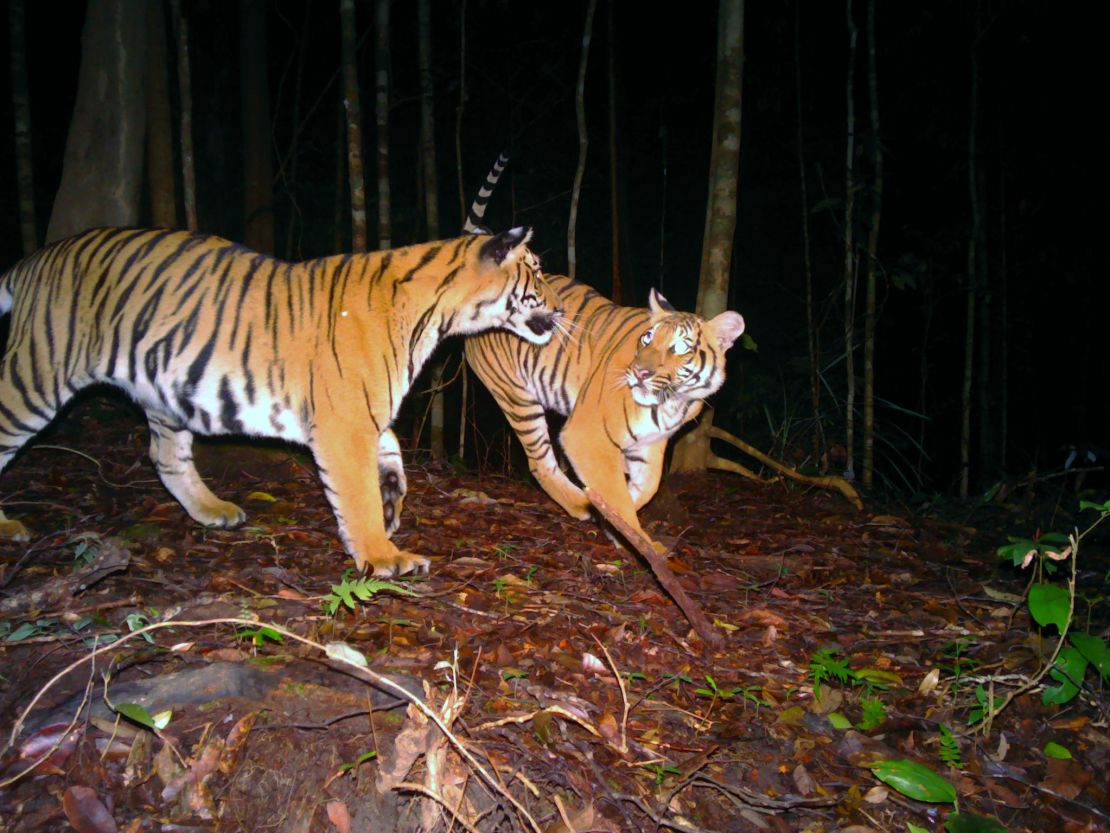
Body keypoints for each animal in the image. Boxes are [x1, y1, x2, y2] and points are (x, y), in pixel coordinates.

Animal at [0, 225, 555, 577]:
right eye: (537, 272)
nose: (560, 307)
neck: (438, 315)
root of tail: (33, 260)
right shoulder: (344, 421)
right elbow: (354, 493)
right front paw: (384, 555)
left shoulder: (362, 410)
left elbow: (391, 448)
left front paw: (392, 498)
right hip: (37, 373)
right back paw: (9, 527)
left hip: (162, 390)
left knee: (164, 456)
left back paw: (214, 511)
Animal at [459, 157, 745, 555]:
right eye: (647, 339)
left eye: (679, 348)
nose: (639, 374)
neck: (673, 401)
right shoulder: (586, 434)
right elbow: (617, 494)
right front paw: (634, 539)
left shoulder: (652, 443)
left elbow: (645, 488)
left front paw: (619, 523)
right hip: (517, 397)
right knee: (540, 462)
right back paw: (580, 503)